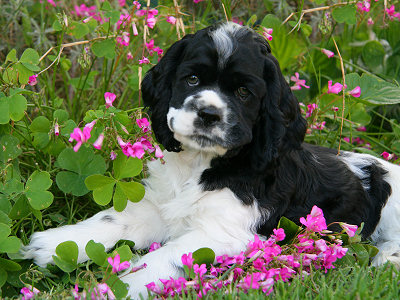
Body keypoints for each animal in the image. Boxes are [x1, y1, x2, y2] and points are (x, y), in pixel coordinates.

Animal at [23, 22, 400, 298]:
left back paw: (386, 260)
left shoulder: (222, 232)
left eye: (244, 92)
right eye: (192, 79)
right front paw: (55, 243)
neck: (201, 165)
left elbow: (165, 257)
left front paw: (120, 286)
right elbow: (115, 219)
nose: (208, 114)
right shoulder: (160, 205)